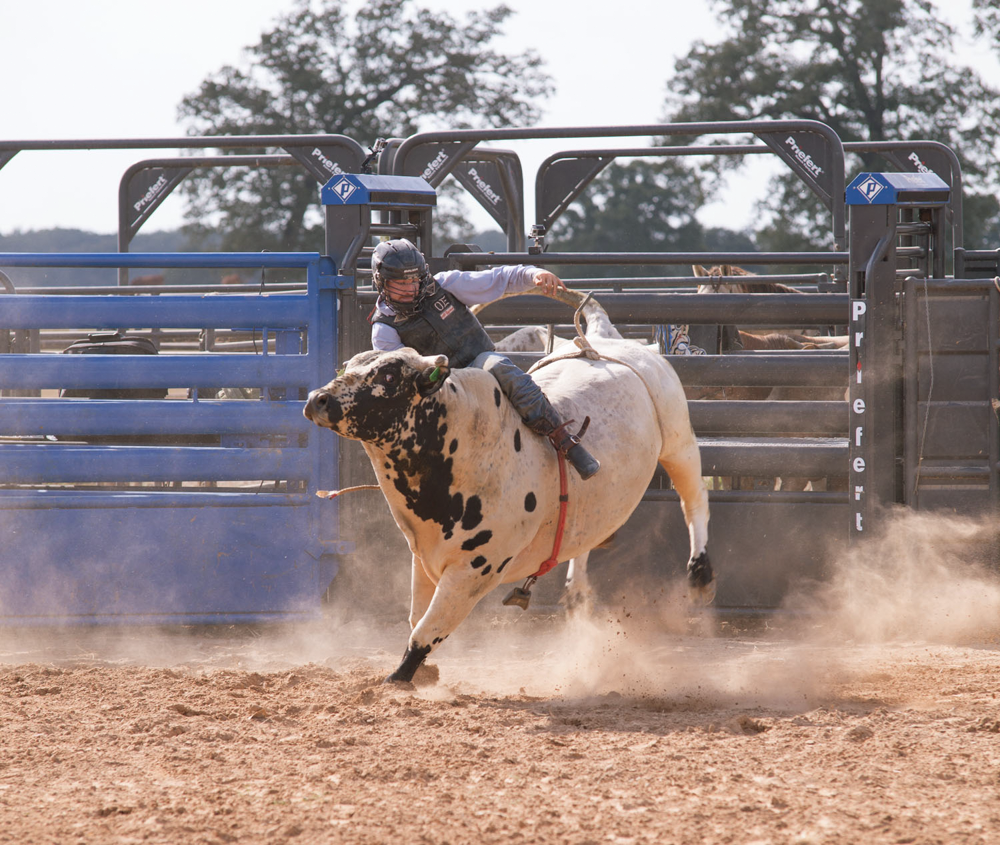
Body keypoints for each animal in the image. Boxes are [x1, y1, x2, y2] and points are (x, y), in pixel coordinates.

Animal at [303, 289, 713, 684]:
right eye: (348, 367)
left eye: (388, 376)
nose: (316, 399)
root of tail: (601, 338)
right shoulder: (423, 556)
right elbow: (416, 618)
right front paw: (424, 674)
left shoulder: (473, 571)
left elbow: (426, 631)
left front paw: (397, 680)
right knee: (588, 534)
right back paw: (577, 591)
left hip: (678, 438)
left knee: (694, 501)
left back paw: (700, 575)